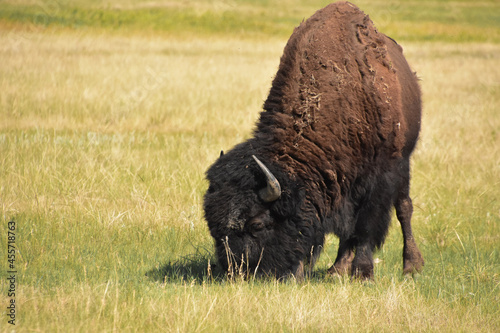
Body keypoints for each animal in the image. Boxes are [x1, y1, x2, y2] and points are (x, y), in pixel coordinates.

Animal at [203, 1, 426, 278]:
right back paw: (336, 269)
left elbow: (367, 224)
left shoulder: (381, 177)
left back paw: (412, 265)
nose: (237, 272)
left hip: (404, 162)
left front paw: (363, 273)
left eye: (257, 225)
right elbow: (347, 227)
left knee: (404, 207)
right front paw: (336, 269)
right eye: (213, 227)